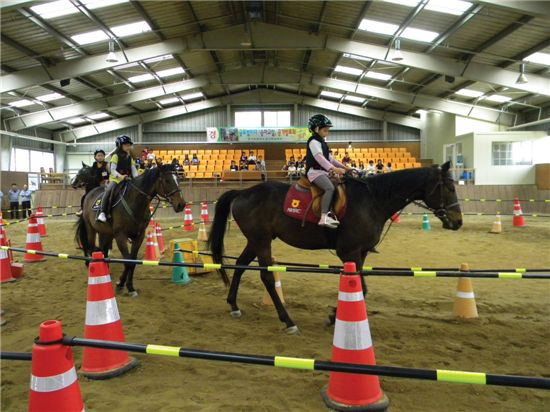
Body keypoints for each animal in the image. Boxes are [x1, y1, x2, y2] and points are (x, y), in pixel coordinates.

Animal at [76, 164, 187, 296]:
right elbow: (128, 261)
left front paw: (129, 286)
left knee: (102, 249)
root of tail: (89, 193)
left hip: (106, 233)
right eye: (167, 180)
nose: (181, 204)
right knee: (91, 247)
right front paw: (120, 284)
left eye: (178, 179)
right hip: (90, 229)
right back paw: (91, 265)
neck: (134, 202)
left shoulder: (139, 236)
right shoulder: (120, 236)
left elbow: (132, 262)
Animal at [209, 162, 464, 334]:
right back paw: (288, 321)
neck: (372, 200)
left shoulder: (360, 253)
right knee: (267, 278)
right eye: (450, 187)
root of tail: (243, 192)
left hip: (256, 240)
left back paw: (234, 305)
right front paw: (333, 316)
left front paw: (337, 315)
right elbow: (361, 286)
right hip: (261, 241)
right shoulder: (349, 251)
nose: (458, 222)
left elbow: (360, 286)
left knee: (240, 266)